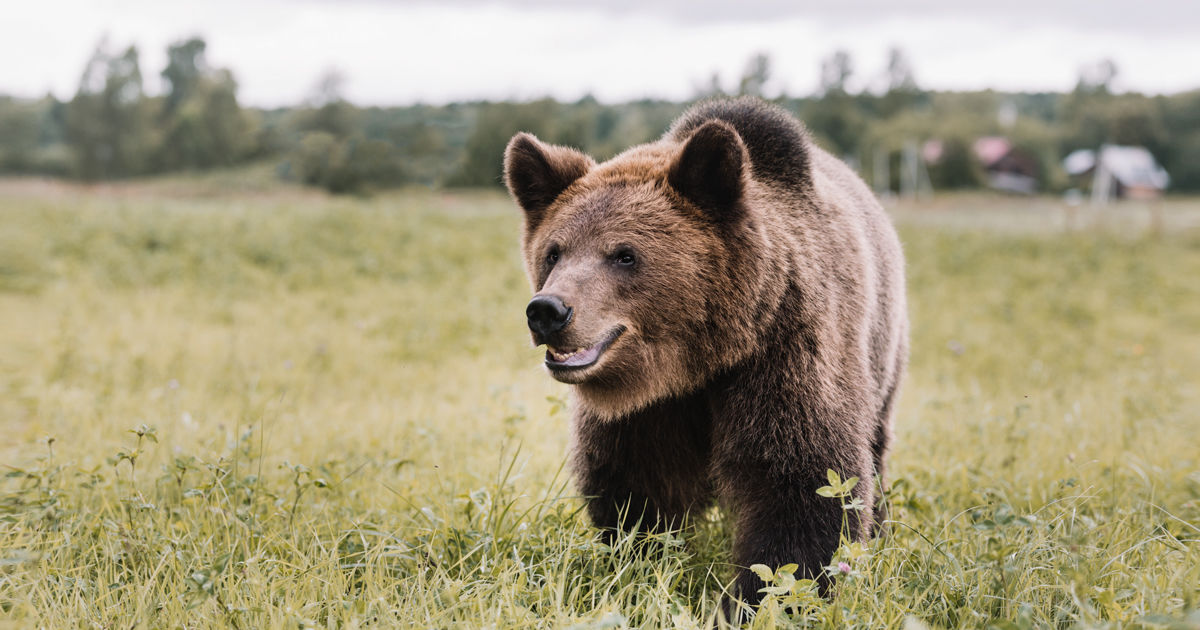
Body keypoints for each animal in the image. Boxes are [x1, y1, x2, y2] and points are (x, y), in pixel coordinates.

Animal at [501, 97, 902, 609]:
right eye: (554, 252)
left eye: (625, 254)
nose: (548, 310)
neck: (697, 362)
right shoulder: (646, 412)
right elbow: (637, 485)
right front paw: (640, 567)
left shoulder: (785, 354)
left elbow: (805, 485)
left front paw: (761, 599)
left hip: (882, 355)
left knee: (875, 448)